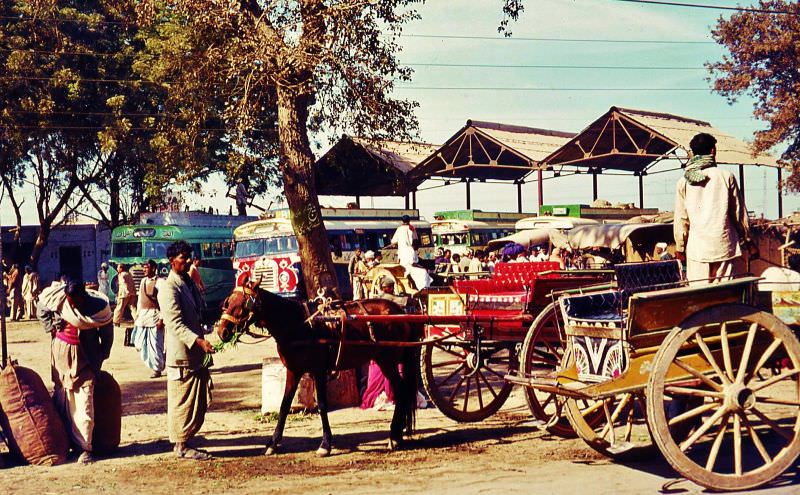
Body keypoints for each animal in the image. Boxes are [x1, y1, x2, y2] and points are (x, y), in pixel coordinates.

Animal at [212, 280, 424, 458]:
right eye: (228, 302)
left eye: (243, 304)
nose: (222, 331)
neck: (298, 325)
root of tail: (400, 311)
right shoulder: (293, 371)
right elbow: (284, 406)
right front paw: (273, 443)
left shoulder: (319, 370)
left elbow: (322, 405)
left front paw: (325, 444)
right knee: (402, 390)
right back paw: (397, 435)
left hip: (387, 359)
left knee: (401, 390)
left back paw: (394, 436)